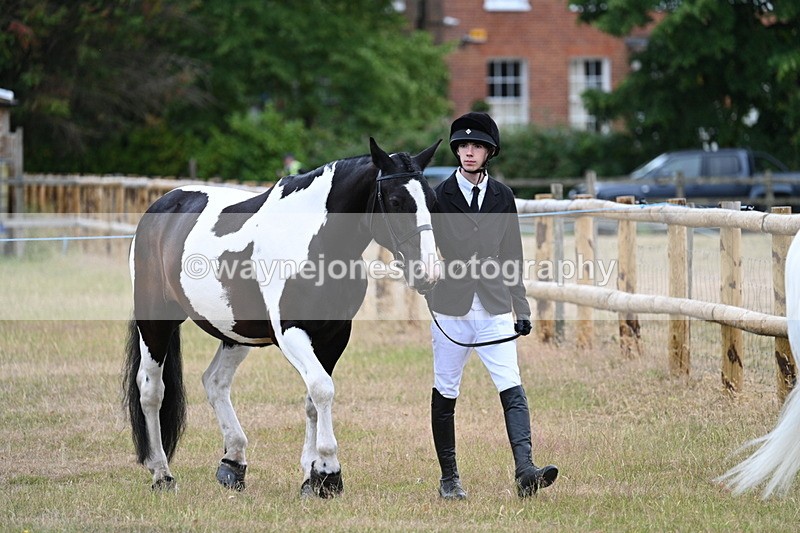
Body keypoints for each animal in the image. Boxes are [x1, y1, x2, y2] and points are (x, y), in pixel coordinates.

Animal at [123, 137, 442, 497]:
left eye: (432, 201)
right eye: (397, 201)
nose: (428, 273)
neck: (315, 242)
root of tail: (161, 206)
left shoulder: (333, 335)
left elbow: (313, 398)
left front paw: (311, 477)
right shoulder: (291, 334)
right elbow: (322, 388)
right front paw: (330, 473)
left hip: (236, 333)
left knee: (215, 382)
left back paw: (232, 464)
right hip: (155, 323)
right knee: (151, 390)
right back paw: (161, 474)